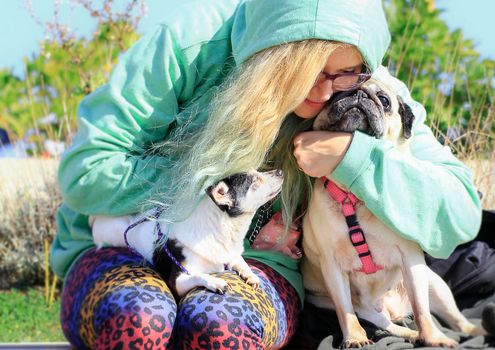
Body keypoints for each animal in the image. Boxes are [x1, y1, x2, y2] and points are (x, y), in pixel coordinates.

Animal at [89, 170, 282, 298]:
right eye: (255, 180)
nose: (280, 171)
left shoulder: (231, 255)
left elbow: (241, 262)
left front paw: (251, 275)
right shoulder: (178, 281)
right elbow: (199, 275)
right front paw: (215, 282)